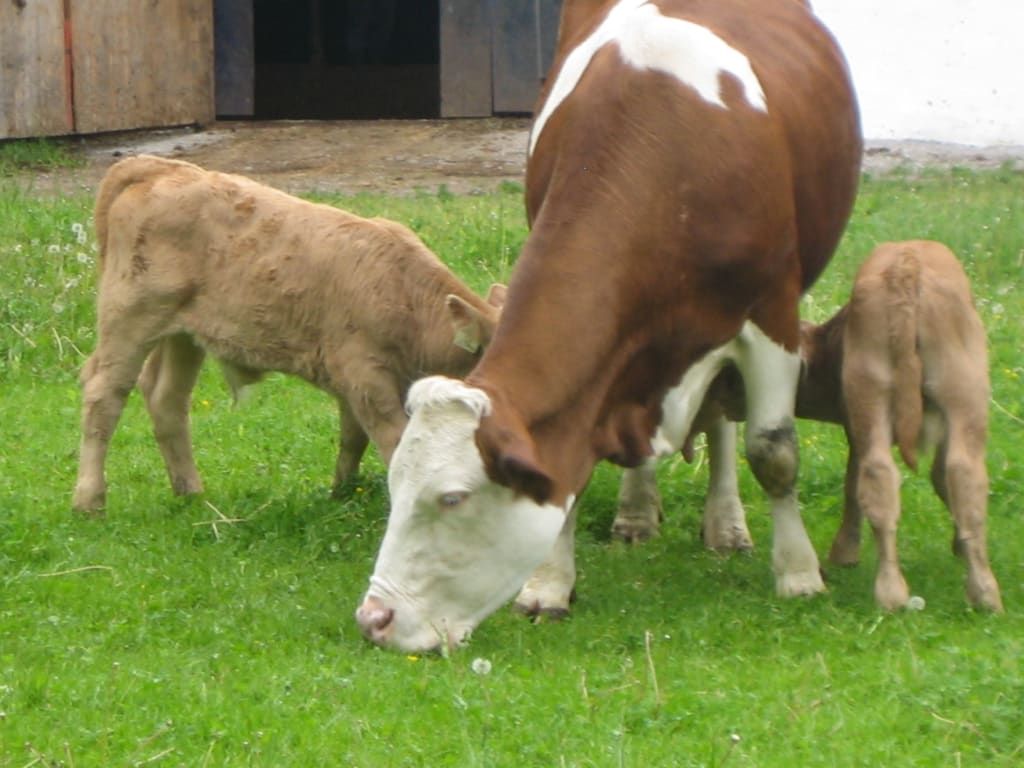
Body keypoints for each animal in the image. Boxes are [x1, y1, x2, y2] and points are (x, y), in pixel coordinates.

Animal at [72, 155, 504, 513]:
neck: (405, 295)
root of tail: (158, 166)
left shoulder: (351, 384)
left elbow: (352, 439)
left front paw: (341, 492)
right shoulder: (367, 378)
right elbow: (393, 442)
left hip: (183, 334)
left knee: (166, 398)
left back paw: (190, 491)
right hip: (130, 318)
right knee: (104, 395)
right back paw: (89, 500)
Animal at [356, 0, 862, 652]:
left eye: (452, 498)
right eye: (395, 482)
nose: (374, 619)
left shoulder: (771, 312)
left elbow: (772, 450)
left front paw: (799, 574)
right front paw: (548, 586)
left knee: (726, 418)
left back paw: (726, 523)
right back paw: (638, 512)